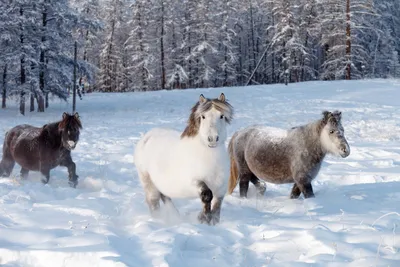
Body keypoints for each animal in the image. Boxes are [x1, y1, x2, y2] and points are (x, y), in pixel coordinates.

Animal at [134, 93, 234, 225]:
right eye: (203, 116)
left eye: (221, 116)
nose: (212, 139)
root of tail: (146, 137)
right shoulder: (194, 182)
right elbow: (207, 195)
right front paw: (203, 218)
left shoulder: (221, 189)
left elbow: (216, 207)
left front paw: (212, 221)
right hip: (148, 183)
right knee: (154, 203)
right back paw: (159, 220)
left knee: (165, 197)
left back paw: (175, 216)